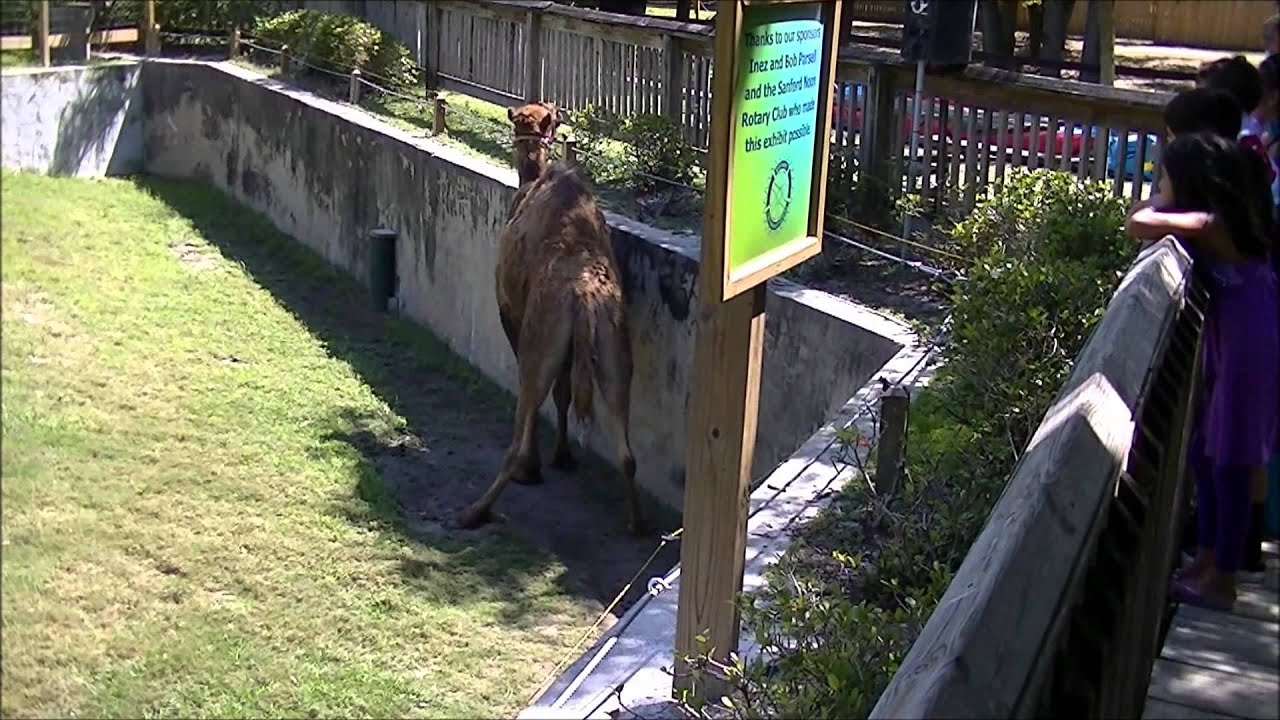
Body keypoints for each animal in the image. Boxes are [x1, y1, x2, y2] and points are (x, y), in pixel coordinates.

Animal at [456, 101, 644, 535]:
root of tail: (585, 299)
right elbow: (564, 394)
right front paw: (563, 456)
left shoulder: (511, 310)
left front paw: (538, 465)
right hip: (614, 348)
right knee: (627, 452)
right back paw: (636, 522)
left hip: (540, 337)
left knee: (521, 417)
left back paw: (475, 510)